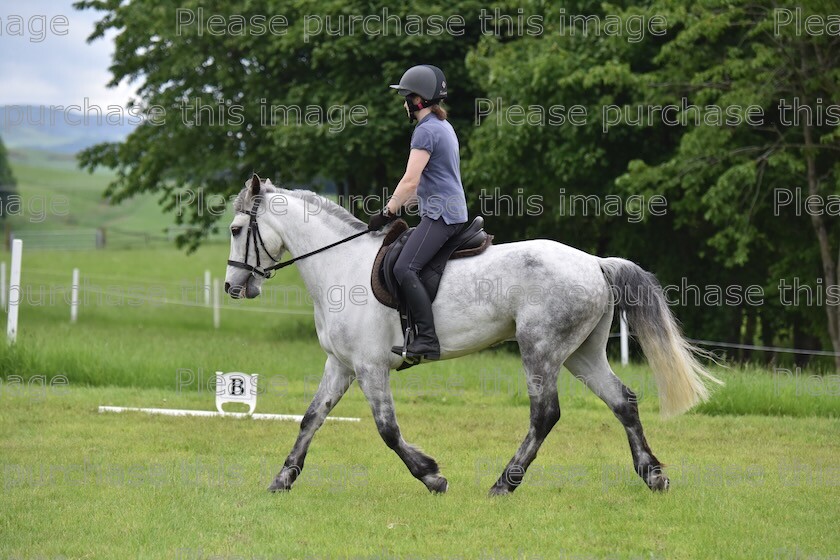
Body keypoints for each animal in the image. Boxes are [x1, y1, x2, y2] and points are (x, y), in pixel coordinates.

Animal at [225, 175, 720, 494]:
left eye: (235, 229)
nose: (234, 287)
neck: (340, 266)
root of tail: (595, 263)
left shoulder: (370, 367)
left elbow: (387, 430)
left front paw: (431, 475)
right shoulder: (342, 364)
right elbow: (311, 418)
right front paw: (283, 478)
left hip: (540, 350)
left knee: (545, 414)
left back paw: (505, 482)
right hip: (582, 354)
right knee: (623, 402)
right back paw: (652, 474)